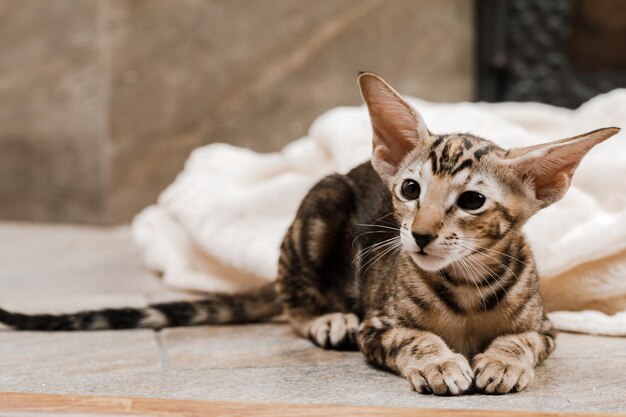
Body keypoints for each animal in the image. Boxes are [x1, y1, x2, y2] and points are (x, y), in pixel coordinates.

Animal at [0, 73, 616, 394]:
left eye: (471, 201)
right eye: (411, 189)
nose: (417, 235)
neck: (465, 287)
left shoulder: (546, 327)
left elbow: (522, 339)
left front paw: (503, 360)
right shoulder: (378, 326)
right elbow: (412, 337)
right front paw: (440, 361)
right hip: (321, 203)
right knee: (293, 304)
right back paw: (327, 317)